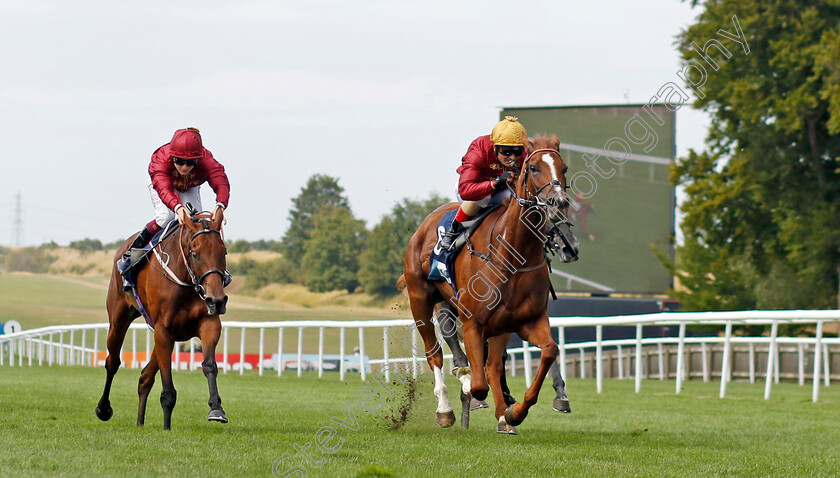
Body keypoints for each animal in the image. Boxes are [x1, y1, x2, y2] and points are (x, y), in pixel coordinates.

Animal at [96, 208, 230, 430]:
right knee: (112, 362)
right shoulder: (163, 331)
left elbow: (209, 365)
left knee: (145, 377)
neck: (186, 282)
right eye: (195, 253)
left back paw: (140, 422)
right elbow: (167, 388)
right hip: (118, 319)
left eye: (224, 252)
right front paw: (167, 427)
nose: (217, 300)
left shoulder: (208, 324)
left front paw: (216, 408)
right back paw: (103, 408)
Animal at [404, 134, 580, 434]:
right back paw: (445, 408)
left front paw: (513, 412)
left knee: (487, 360)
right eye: (534, 168)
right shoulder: (474, 322)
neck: (512, 254)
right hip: (420, 301)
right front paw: (471, 388)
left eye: (564, 167)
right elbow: (479, 383)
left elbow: (547, 351)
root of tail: (423, 226)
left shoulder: (523, 320)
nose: (558, 202)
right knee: (435, 352)